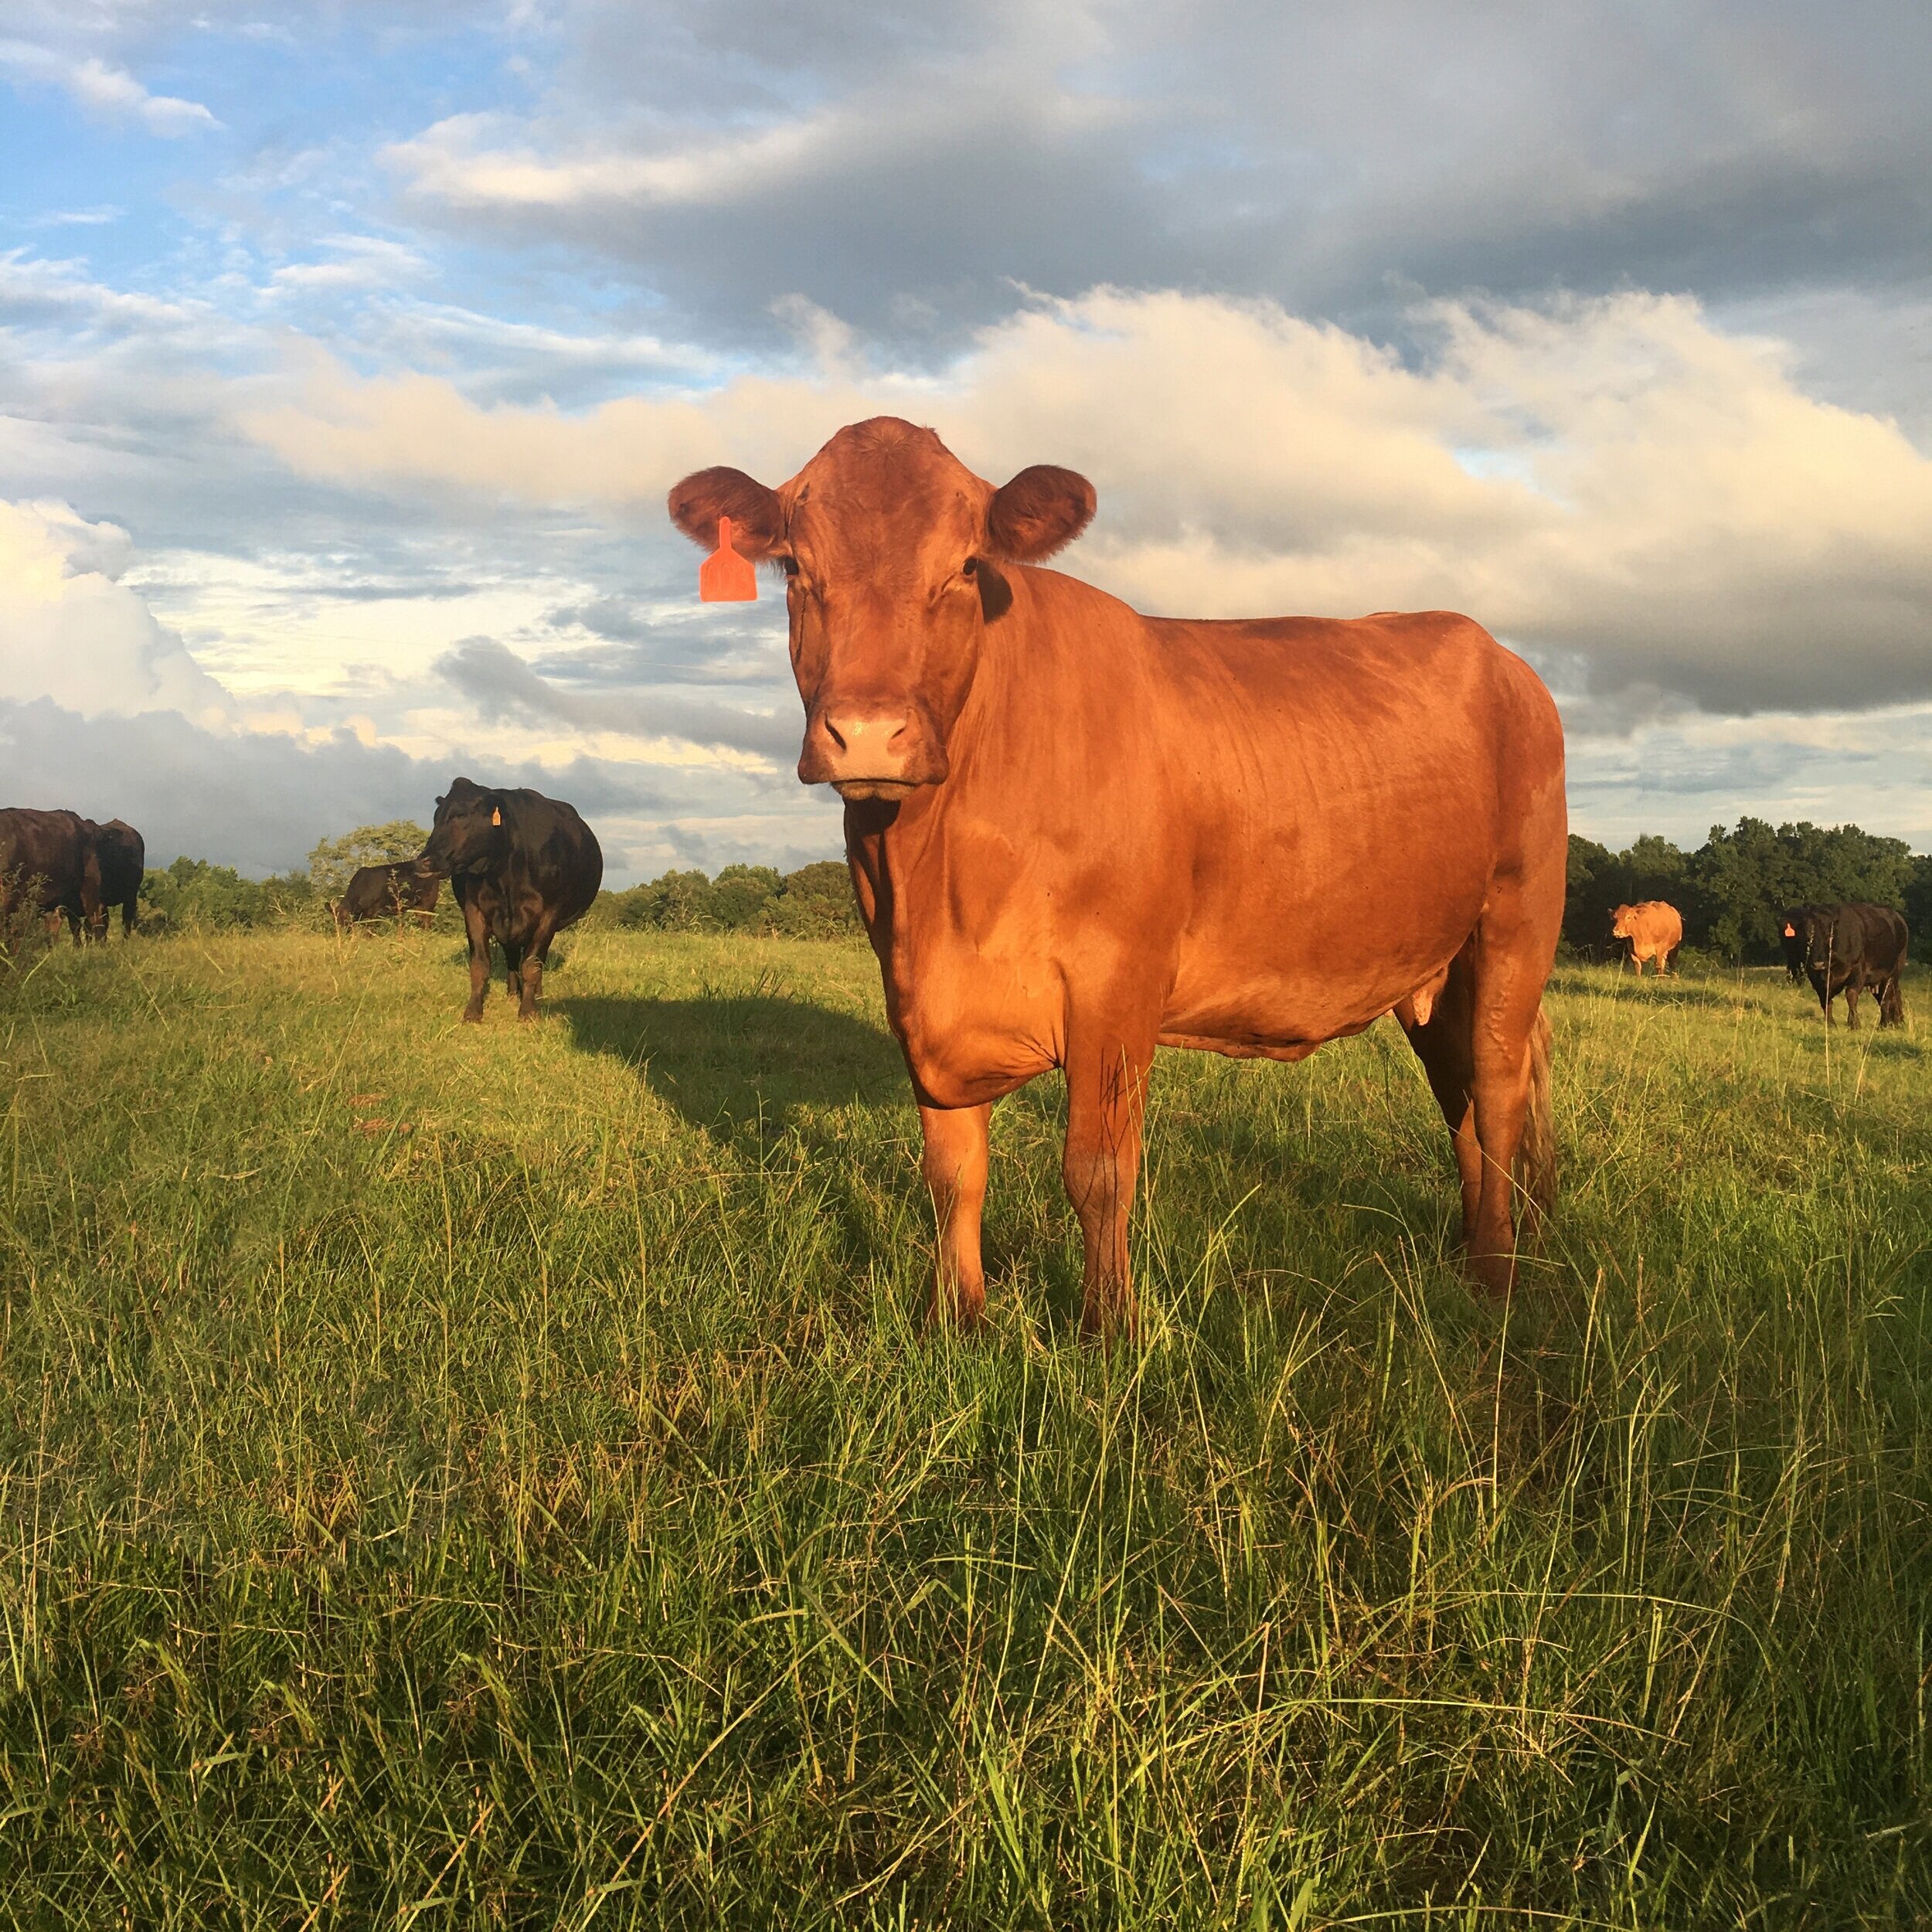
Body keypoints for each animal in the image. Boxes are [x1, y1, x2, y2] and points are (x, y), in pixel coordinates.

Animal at [331, 862, 440, 932]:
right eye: (337, 922)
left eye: (346, 921)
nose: (342, 934)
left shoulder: (375, 913)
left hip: (427, 904)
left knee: (426, 922)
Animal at [415, 779, 601, 1021]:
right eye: (436, 818)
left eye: (461, 814)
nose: (424, 861)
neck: (504, 877)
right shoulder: (474, 910)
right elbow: (480, 965)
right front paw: (473, 1012)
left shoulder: (549, 914)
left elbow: (532, 964)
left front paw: (529, 1012)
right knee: (512, 957)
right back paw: (513, 993)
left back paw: (536, 995)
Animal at [669, 417, 1567, 1338]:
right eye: (794, 569)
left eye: (966, 565)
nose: (868, 734)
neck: (936, 875)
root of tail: (1498, 654)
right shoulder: (912, 989)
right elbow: (952, 1169)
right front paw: (954, 1317)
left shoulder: (1119, 980)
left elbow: (1097, 1168)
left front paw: (1110, 1330)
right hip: (1432, 963)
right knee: (1463, 1099)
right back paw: (1480, 1248)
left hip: (1517, 916)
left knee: (1499, 1090)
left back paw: (1497, 1276)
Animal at [1794, 903, 1908, 1028]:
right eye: (1807, 935)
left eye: (1830, 936)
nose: (1818, 964)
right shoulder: (1814, 977)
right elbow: (1825, 1000)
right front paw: (1831, 1023)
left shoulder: (1858, 971)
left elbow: (1851, 995)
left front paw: (1854, 1024)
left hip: (1891, 975)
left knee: (1886, 999)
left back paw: (1884, 1024)